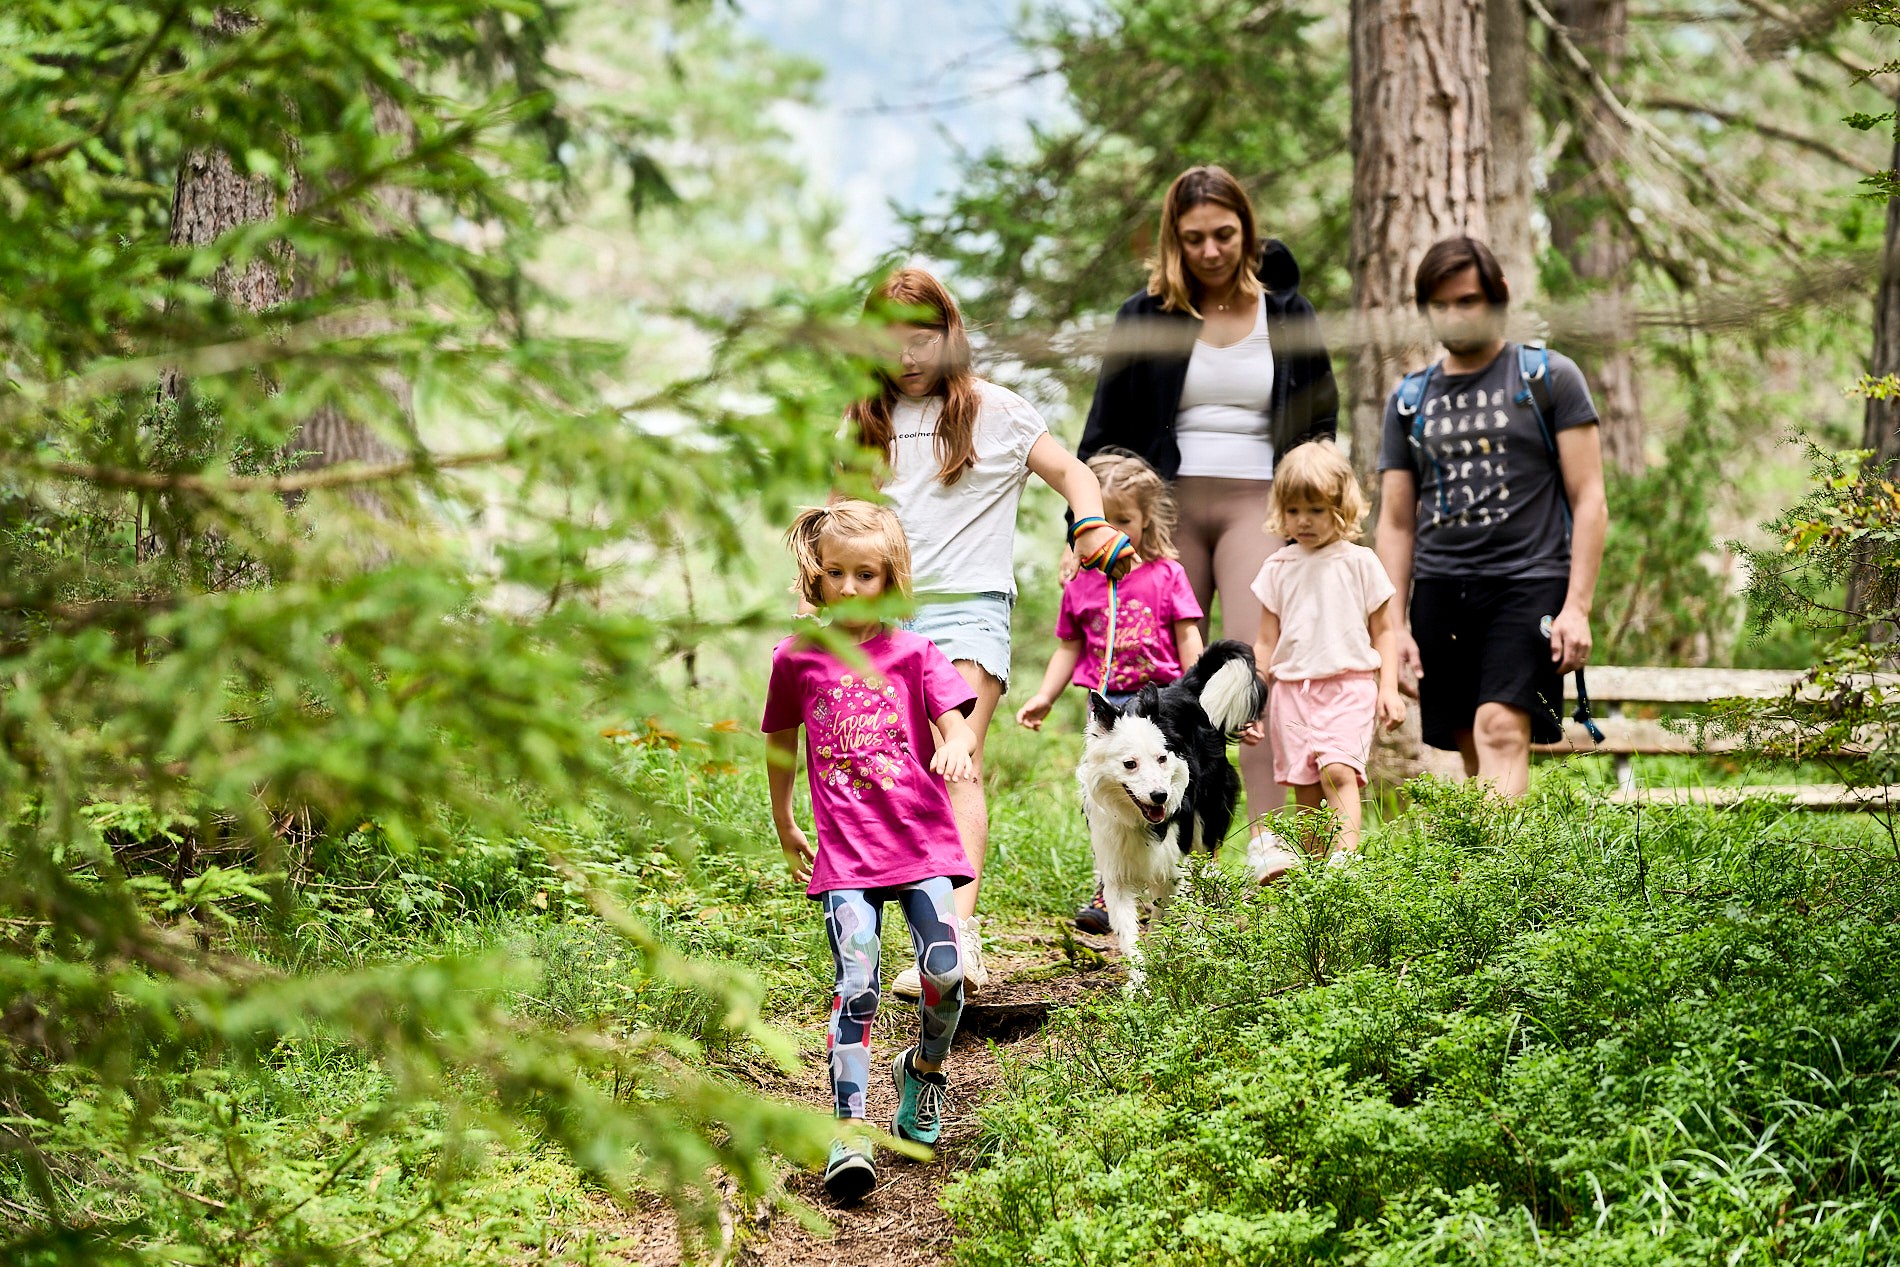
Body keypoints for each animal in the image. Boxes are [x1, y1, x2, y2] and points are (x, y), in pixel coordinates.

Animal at [1079, 638, 1269, 987]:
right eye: (1130, 764)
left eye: (1162, 758)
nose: (1161, 796)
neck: (1139, 820)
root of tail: (1181, 688)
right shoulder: (1116, 869)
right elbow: (1129, 933)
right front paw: (1139, 984)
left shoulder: (1171, 866)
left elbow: (1159, 920)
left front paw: (1161, 959)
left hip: (1204, 826)